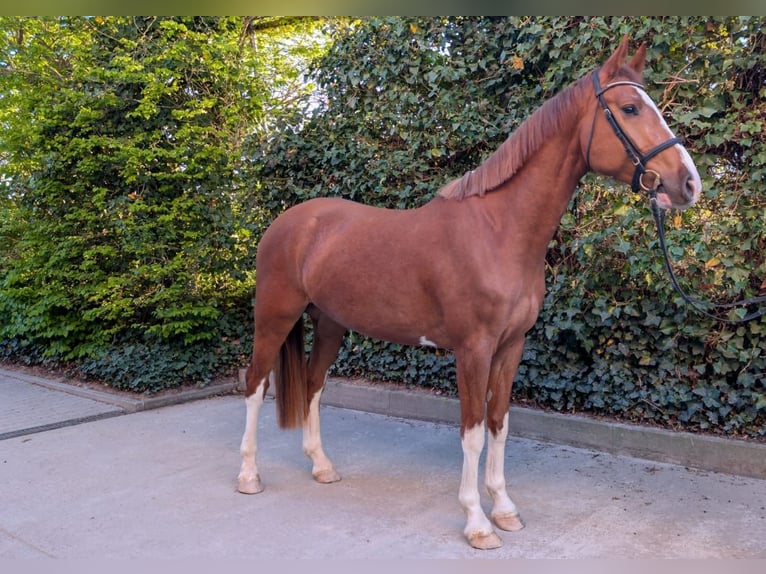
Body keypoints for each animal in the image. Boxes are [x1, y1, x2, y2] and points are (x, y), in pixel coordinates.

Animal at [236, 36, 702, 550]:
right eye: (630, 108)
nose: (689, 183)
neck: (498, 231)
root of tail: (288, 223)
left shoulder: (511, 346)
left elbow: (498, 423)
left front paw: (504, 509)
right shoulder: (473, 349)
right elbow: (473, 431)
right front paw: (477, 523)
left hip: (331, 324)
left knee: (314, 385)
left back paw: (321, 466)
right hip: (275, 317)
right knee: (255, 384)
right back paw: (249, 475)